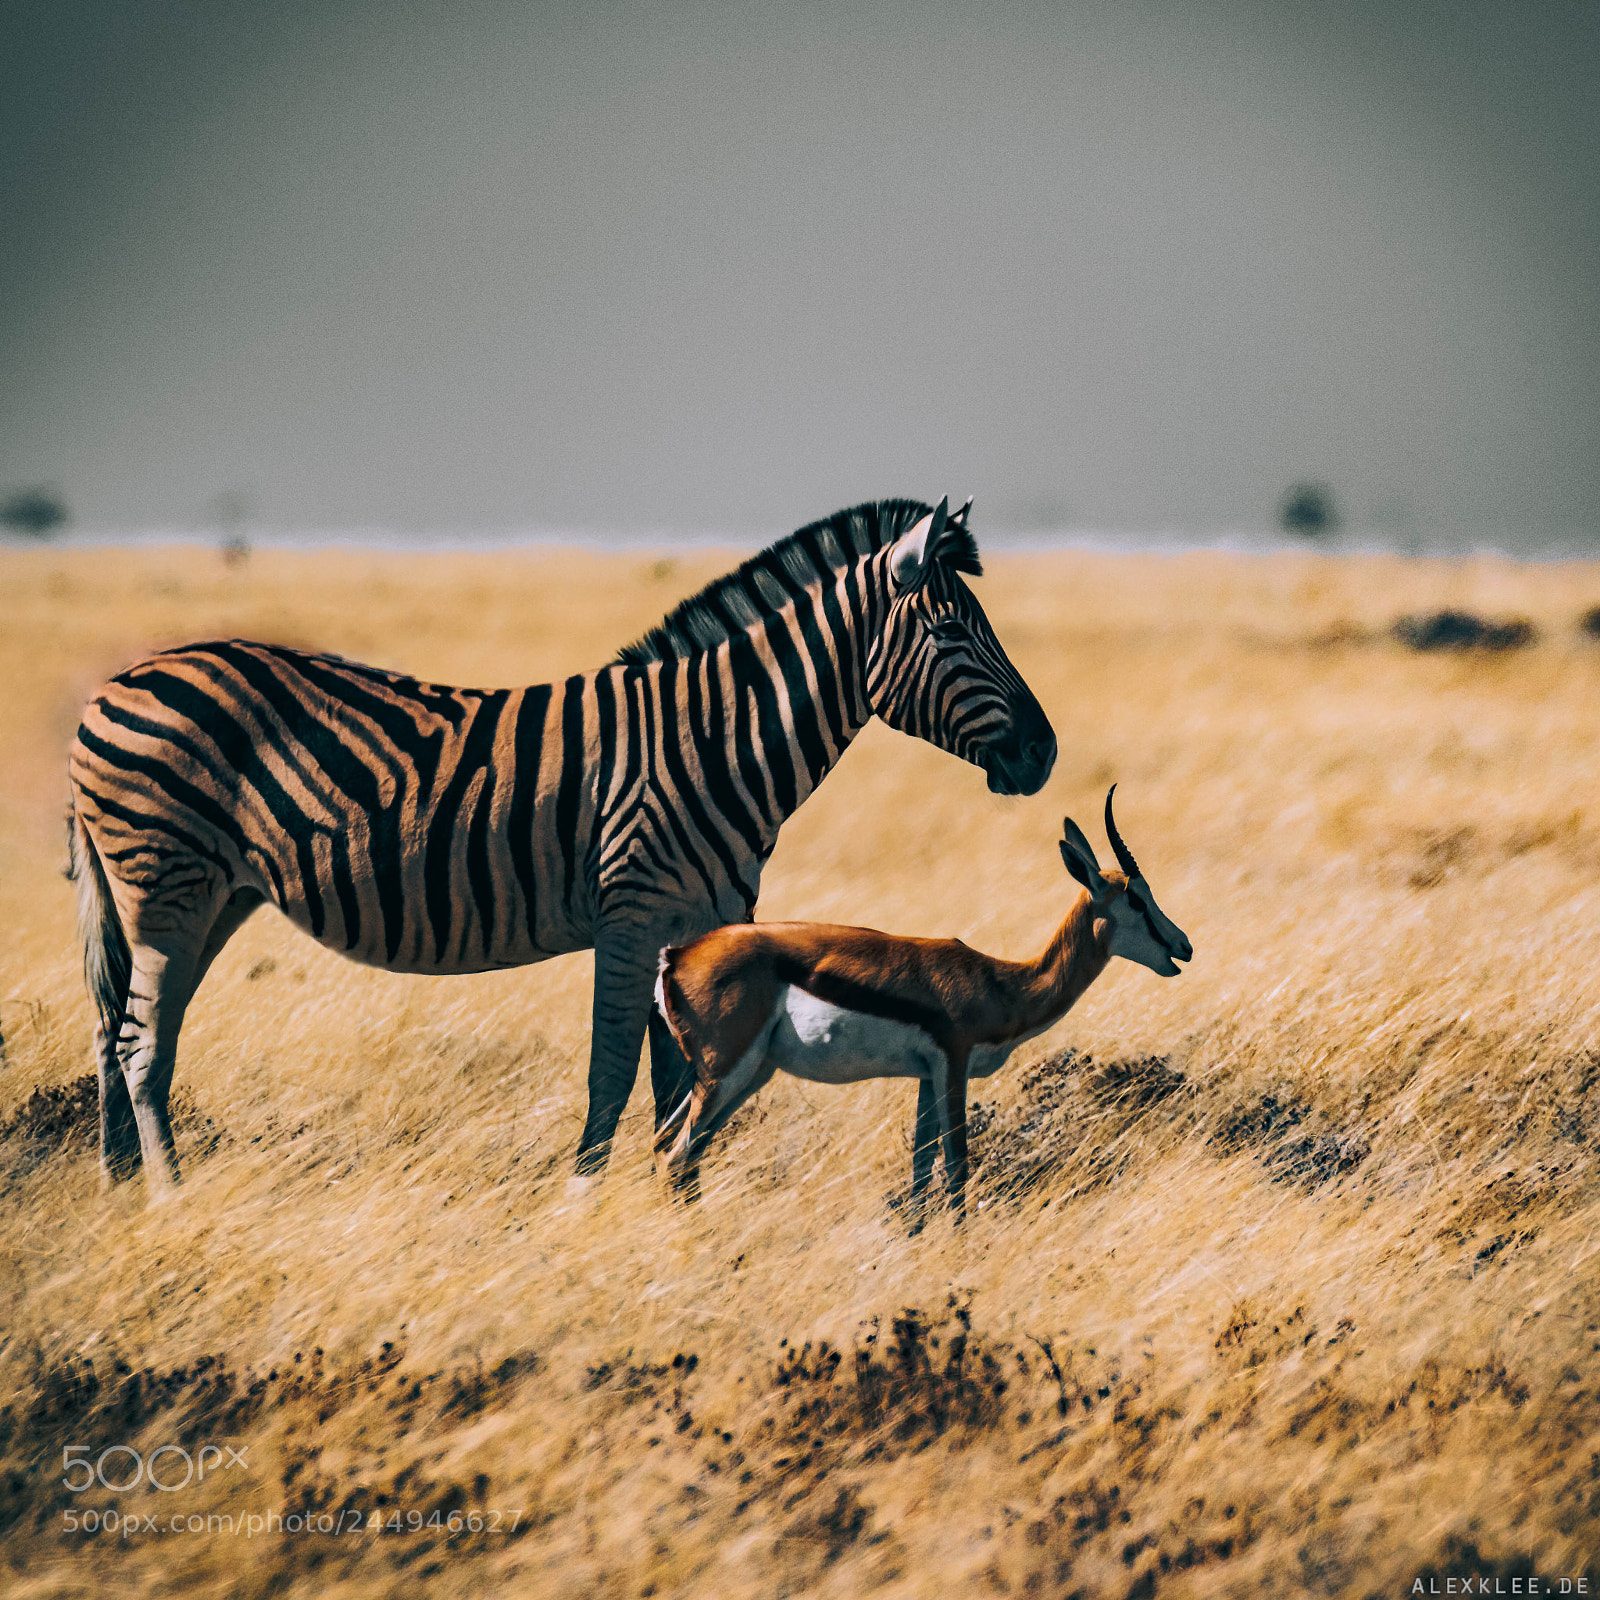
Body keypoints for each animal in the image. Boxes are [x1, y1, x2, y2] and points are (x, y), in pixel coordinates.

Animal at [67, 496, 1057, 1192]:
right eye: (950, 629)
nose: (1044, 753)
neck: (718, 740)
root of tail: (116, 682)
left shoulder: (693, 934)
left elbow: (678, 1085)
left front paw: (676, 1211)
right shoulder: (632, 915)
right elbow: (612, 1075)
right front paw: (586, 1206)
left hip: (212, 897)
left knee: (125, 1034)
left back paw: (126, 1194)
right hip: (165, 885)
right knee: (140, 1044)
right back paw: (171, 1201)